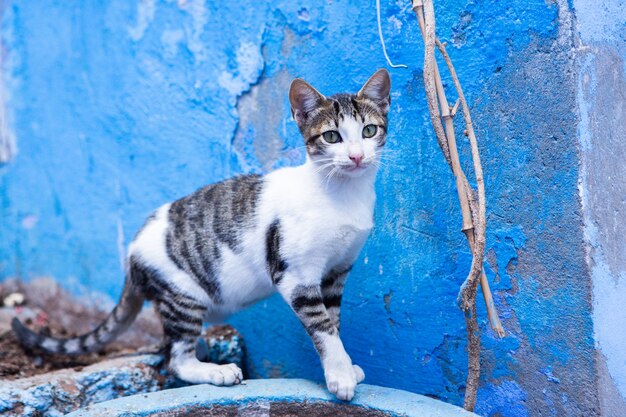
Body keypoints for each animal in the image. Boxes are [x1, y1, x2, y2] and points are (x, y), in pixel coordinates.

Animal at [11, 67, 390, 400]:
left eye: (369, 131)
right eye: (332, 136)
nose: (356, 157)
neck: (343, 195)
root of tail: (131, 254)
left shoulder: (336, 272)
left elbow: (334, 322)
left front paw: (343, 367)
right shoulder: (297, 276)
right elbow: (322, 326)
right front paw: (339, 375)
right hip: (183, 295)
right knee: (176, 357)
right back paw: (216, 371)